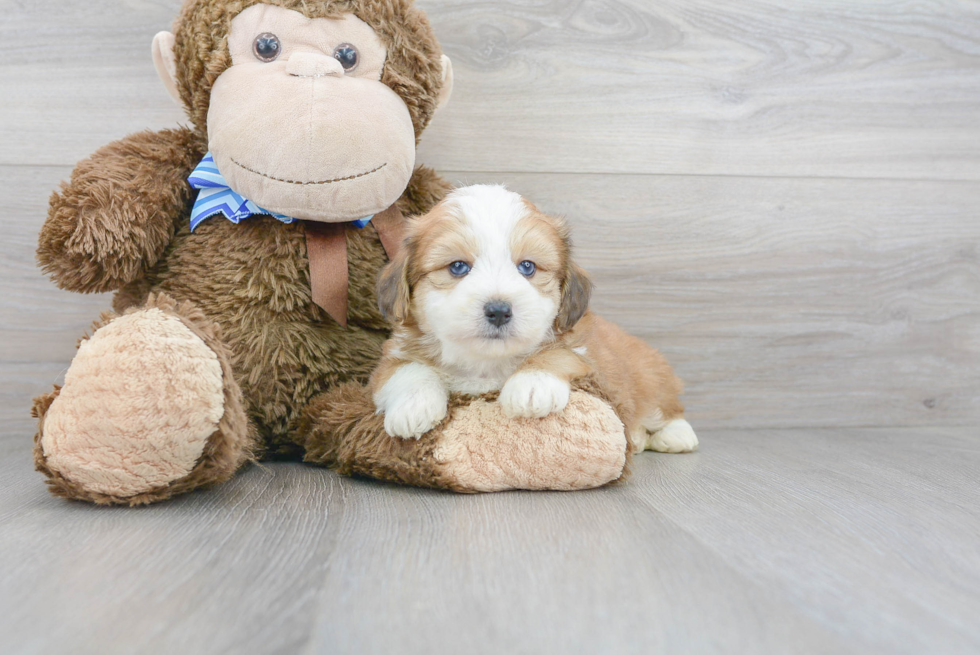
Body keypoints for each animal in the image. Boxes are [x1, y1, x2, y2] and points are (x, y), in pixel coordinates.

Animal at [368, 182, 696, 454]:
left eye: (527, 267)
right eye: (458, 267)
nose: (499, 310)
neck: (485, 364)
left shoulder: (587, 356)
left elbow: (559, 353)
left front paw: (532, 383)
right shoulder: (390, 359)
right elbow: (406, 369)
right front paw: (413, 405)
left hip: (650, 376)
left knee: (666, 408)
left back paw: (676, 435)